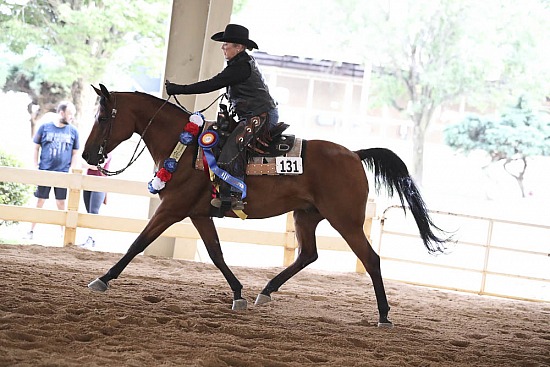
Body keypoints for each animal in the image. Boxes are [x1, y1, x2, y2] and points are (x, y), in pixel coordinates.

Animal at [84, 84, 450, 328]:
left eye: (102, 116)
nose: (88, 155)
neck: (185, 146)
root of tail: (355, 154)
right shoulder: (199, 214)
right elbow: (216, 253)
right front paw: (238, 294)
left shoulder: (172, 210)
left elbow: (138, 243)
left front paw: (103, 278)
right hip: (306, 216)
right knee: (308, 255)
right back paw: (266, 291)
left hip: (345, 221)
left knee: (370, 258)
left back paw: (384, 315)